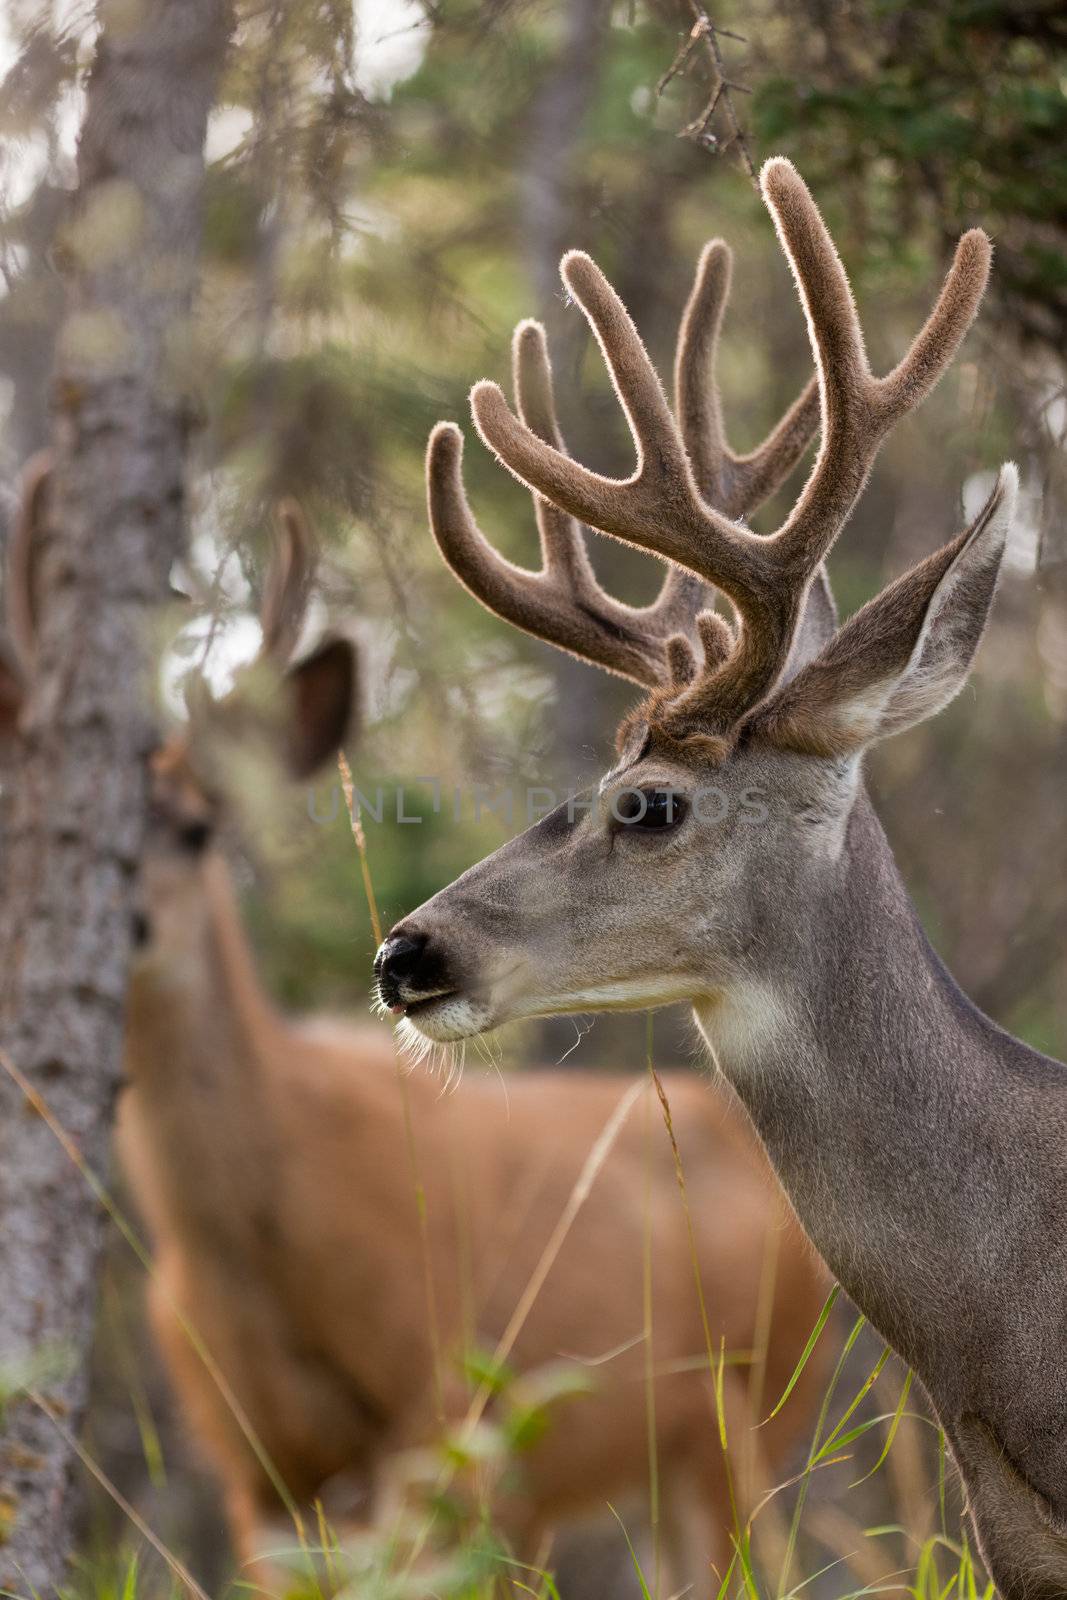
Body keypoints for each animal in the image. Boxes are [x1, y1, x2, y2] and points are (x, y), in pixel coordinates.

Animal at [2, 480, 831, 1593]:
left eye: (197, 829)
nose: (129, 925)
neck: (264, 1232)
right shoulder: (252, 1466)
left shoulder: (440, 1399)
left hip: (754, 1411)